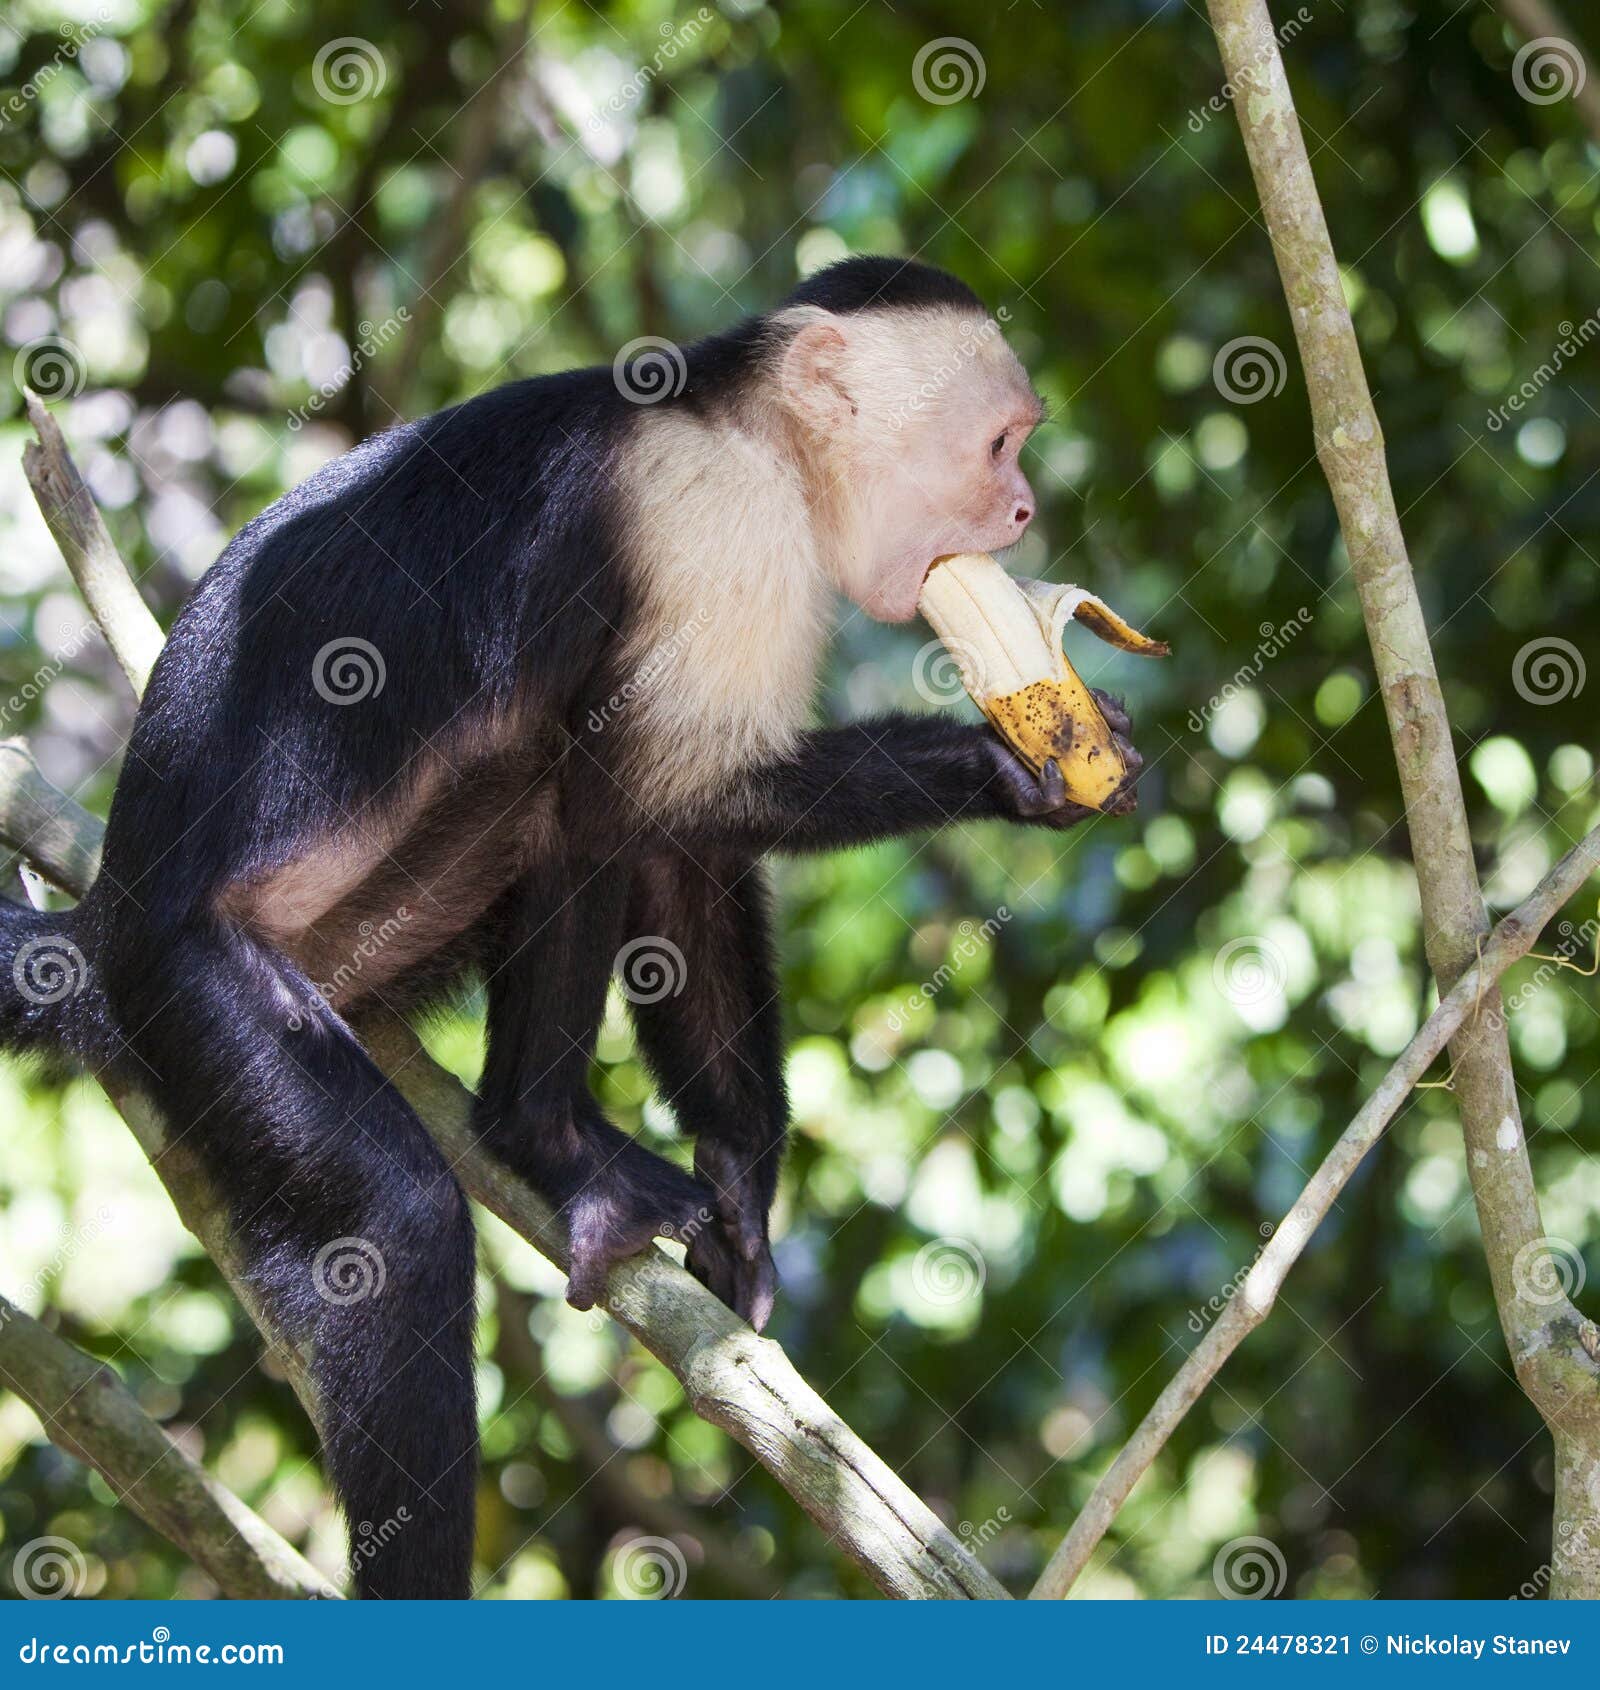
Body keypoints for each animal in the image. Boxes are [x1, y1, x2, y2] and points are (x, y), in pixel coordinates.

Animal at [3, 253, 1148, 1595]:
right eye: (1001, 443)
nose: (1022, 510)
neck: (745, 428)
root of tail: (104, 924)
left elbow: (672, 837)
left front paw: (743, 1181)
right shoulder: (719, 524)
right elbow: (668, 788)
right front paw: (1009, 766)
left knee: (558, 798)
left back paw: (537, 1134)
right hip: (193, 982)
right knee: (402, 1203)